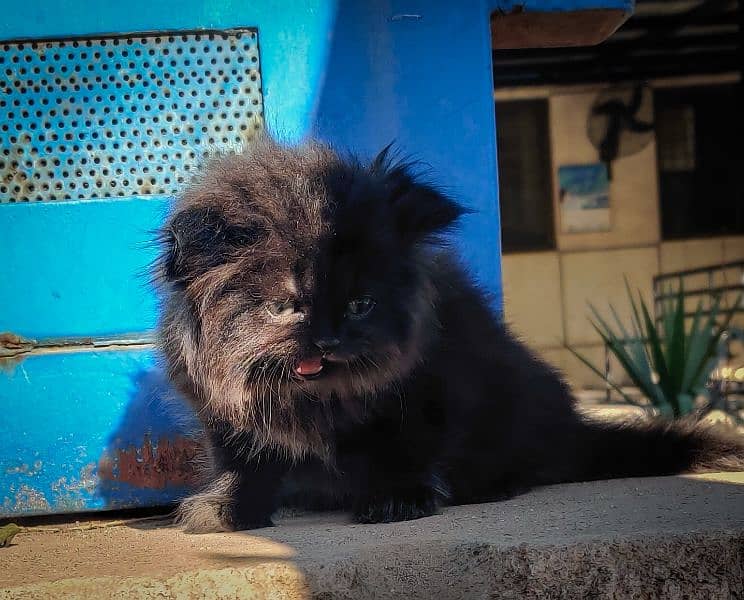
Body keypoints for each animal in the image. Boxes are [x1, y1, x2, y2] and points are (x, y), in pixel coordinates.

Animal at [157, 138, 744, 532]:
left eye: (361, 304)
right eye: (285, 307)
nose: (326, 340)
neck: (317, 398)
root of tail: (572, 431)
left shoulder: (431, 392)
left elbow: (405, 446)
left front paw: (398, 500)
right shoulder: (220, 410)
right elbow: (243, 461)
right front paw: (226, 508)